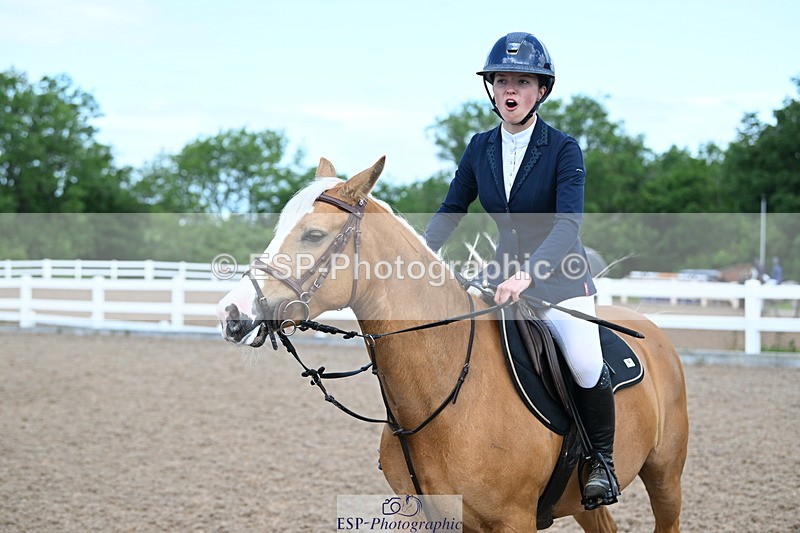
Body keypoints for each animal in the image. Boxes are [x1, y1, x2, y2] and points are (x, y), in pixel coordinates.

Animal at [217, 157, 689, 532]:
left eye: (313, 235)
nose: (231, 314)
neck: (447, 390)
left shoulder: (514, 521)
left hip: (665, 478)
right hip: (583, 503)